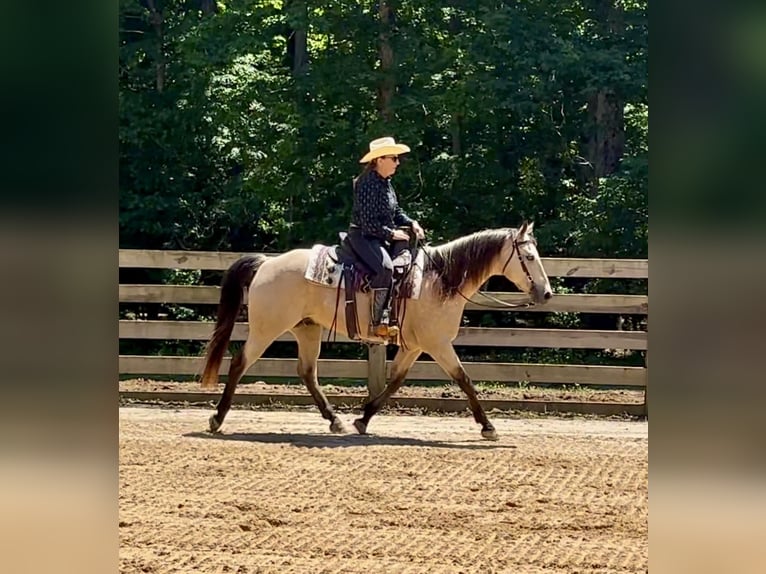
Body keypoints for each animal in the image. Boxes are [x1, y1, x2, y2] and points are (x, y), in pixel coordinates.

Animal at [199, 221, 553, 440]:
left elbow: (395, 381)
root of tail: (266, 264)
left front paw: (363, 418)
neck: (438, 280)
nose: (546, 293)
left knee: (307, 373)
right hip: (266, 328)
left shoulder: (413, 346)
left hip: (307, 330)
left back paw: (335, 420)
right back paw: (217, 419)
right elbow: (464, 380)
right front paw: (488, 427)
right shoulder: (437, 344)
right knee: (239, 363)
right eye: (529, 256)